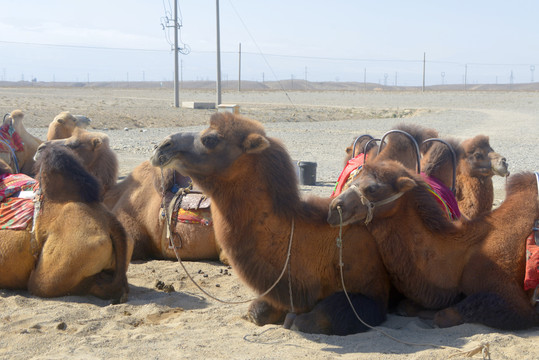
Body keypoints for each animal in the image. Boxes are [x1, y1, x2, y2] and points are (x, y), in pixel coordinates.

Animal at [152, 112, 392, 334]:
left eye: (210, 139)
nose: (161, 146)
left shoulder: (373, 295)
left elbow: (312, 319)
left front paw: (296, 320)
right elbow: (257, 311)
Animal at [326, 159, 539, 330]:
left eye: (372, 188)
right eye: (352, 181)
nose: (334, 208)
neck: (463, 251)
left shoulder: (514, 301)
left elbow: (444, 315)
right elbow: (409, 306)